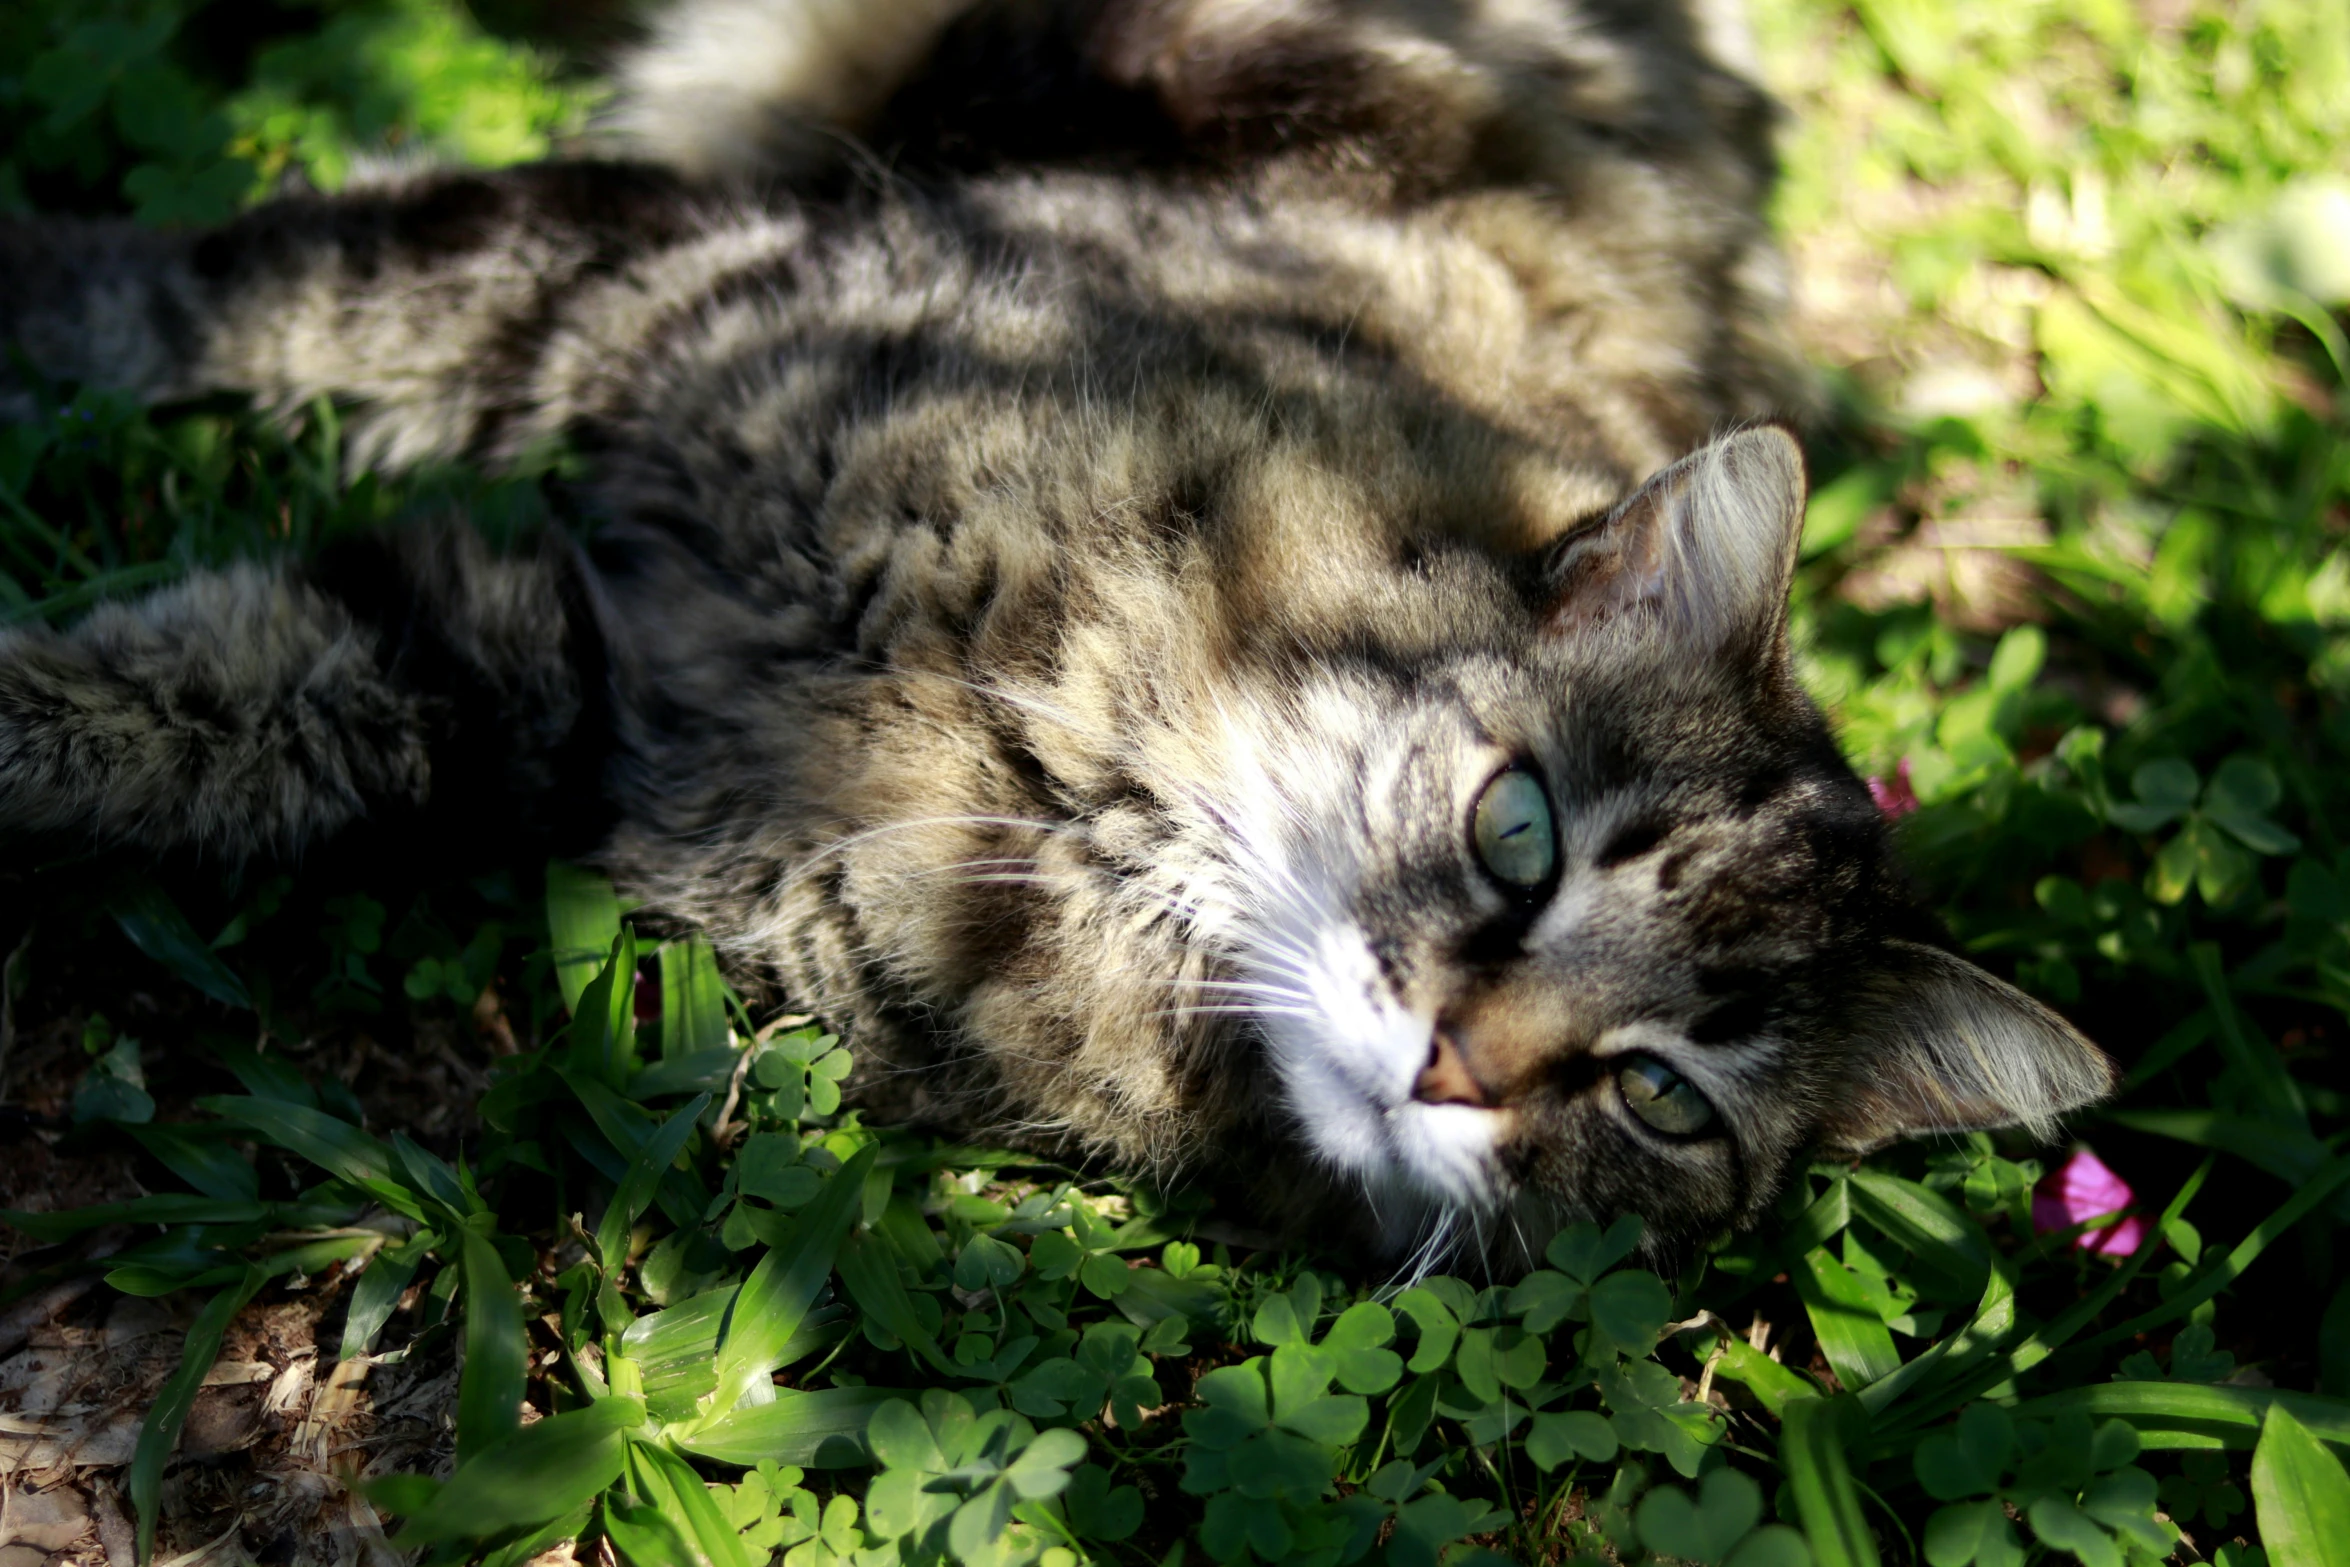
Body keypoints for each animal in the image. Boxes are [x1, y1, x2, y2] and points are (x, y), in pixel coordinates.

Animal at [0, 0, 2115, 1259]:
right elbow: (222, 289)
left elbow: (195, 699)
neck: (1070, 771)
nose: (1454, 1064)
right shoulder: (635, 301)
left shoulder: (556, 669)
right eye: (1518, 830)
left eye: (1659, 1099)